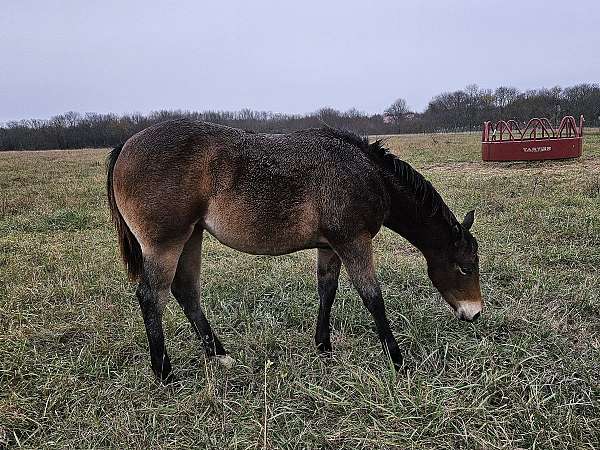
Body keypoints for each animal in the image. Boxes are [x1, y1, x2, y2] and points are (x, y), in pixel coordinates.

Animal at [106, 118, 482, 382]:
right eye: (465, 267)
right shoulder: (353, 241)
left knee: (186, 291)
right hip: (165, 244)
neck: (366, 173)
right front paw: (398, 360)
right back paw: (164, 372)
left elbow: (327, 290)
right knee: (151, 296)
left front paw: (323, 348)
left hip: (191, 236)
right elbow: (373, 298)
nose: (475, 313)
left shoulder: (330, 246)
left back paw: (220, 355)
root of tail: (125, 144)